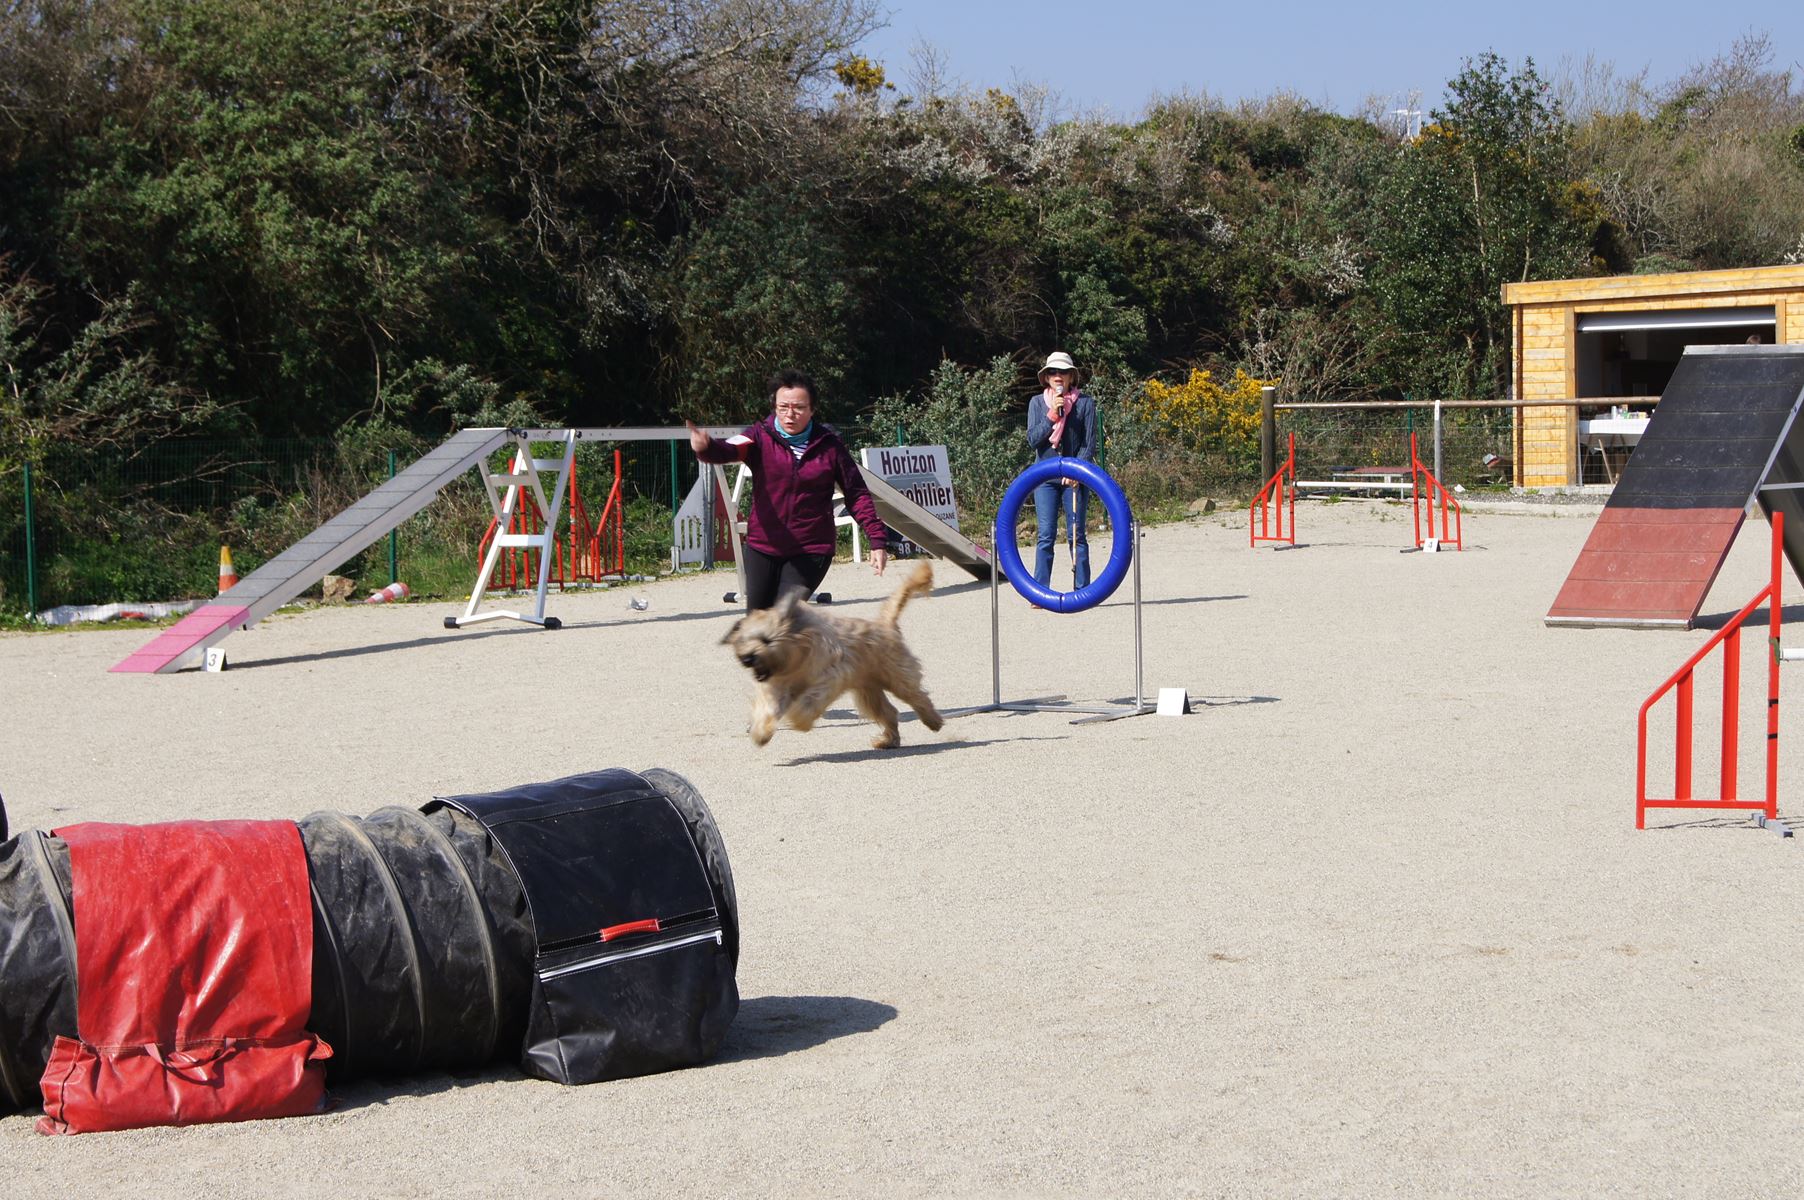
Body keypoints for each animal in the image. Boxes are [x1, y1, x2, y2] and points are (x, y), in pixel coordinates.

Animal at [717, 555, 945, 743]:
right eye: (742, 639)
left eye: (766, 639)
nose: (747, 658)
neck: (796, 656)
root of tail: (885, 624)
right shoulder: (777, 686)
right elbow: (768, 706)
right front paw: (761, 732)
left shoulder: (829, 677)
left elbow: (808, 702)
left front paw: (798, 720)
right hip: (867, 689)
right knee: (889, 711)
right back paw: (887, 741)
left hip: (898, 675)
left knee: (917, 696)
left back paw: (933, 721)